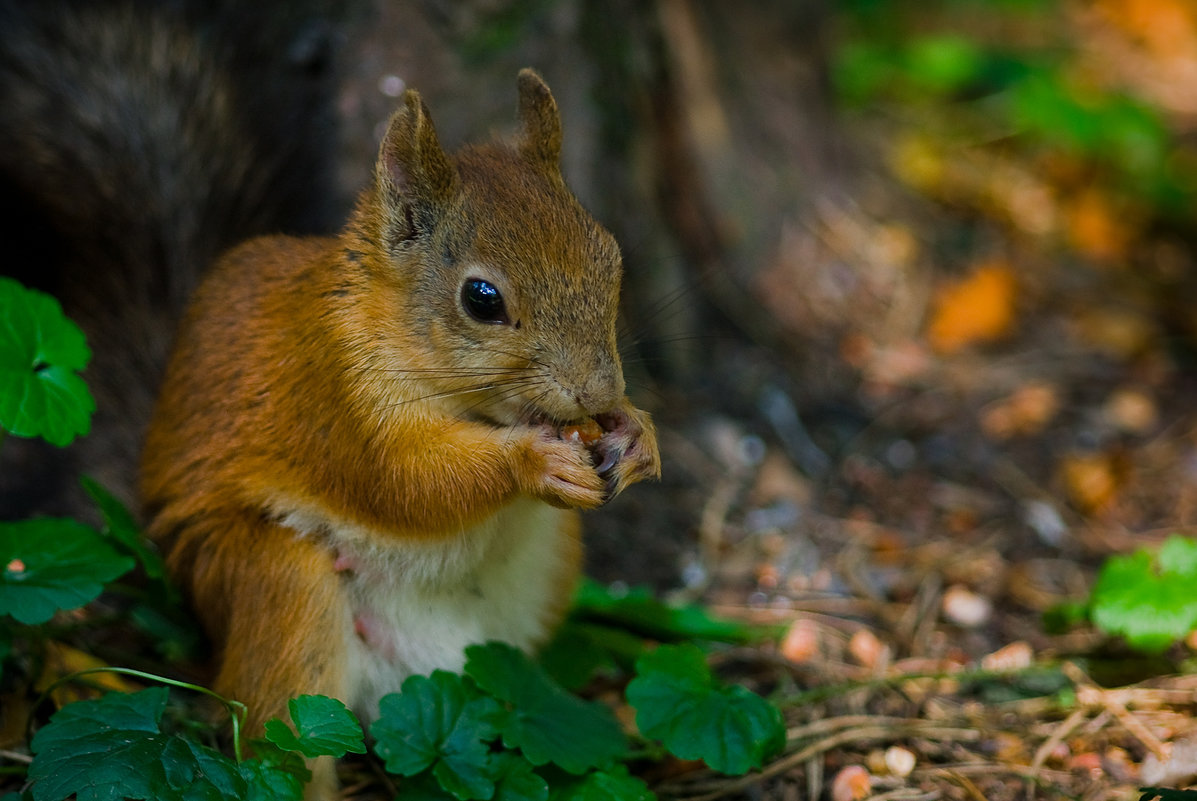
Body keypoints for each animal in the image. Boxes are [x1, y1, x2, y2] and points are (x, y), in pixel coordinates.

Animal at [142, 70, 665, 795]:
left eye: (611, 258)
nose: (597, 394)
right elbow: (407, 483)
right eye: (481, 299)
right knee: (286, 735)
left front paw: (638, 435)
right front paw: (533, 463)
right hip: (279, 586)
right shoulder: (336, 398)